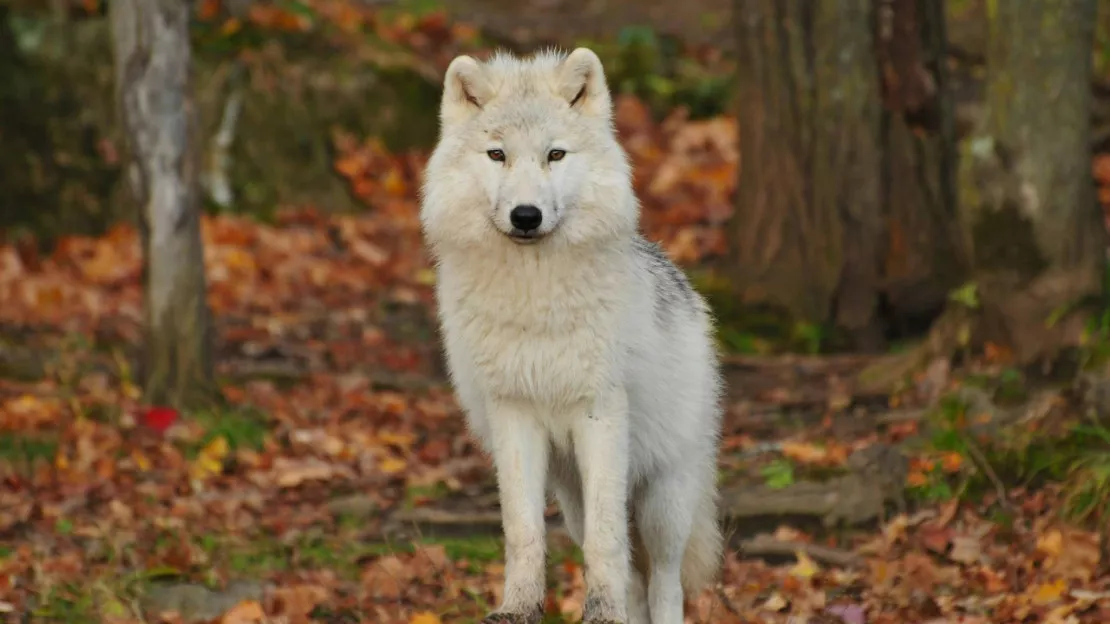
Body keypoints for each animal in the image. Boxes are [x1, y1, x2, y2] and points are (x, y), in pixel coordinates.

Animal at [419, 46, 723, 617]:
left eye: (555, 155)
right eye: (497, 155)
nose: (526, 215)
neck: (535, 298)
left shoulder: (598, 411)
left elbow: (608, 543)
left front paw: (600, 613)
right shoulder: (512, 411)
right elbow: (522, 531)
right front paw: (518, 608)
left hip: (662, 499)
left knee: (664, 582)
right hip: (572, 496)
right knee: (633, 580)